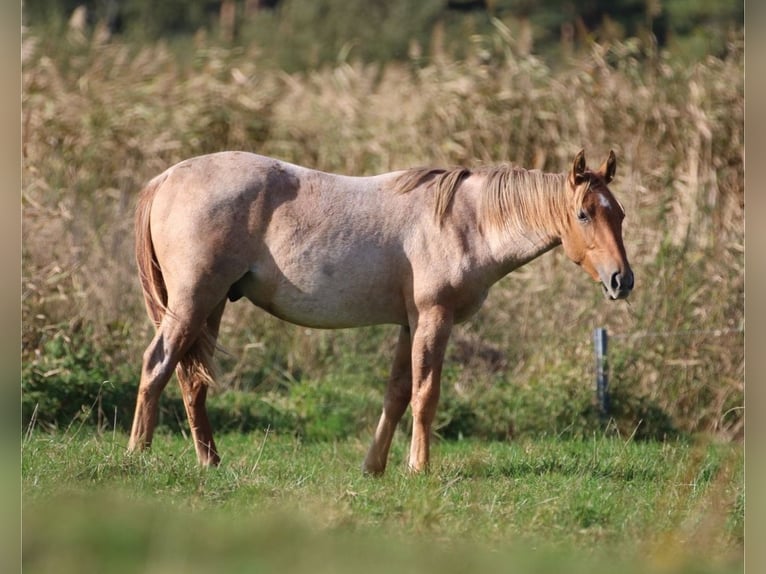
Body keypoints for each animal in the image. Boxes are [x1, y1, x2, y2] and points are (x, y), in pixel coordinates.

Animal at [127, 150, 636, 476]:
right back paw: (138, 455)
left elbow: (397, 394)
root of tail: (166, 179)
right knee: (157, 365)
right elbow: (426, 395)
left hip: (210, 306)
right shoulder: (433, 318)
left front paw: (375, 466)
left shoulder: (409, 325)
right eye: (584, 214)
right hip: (192, 303)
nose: (622, 280)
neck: (464, 221)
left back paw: (210, 461)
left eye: (620, 214)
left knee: (191, 380)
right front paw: (419, 467)